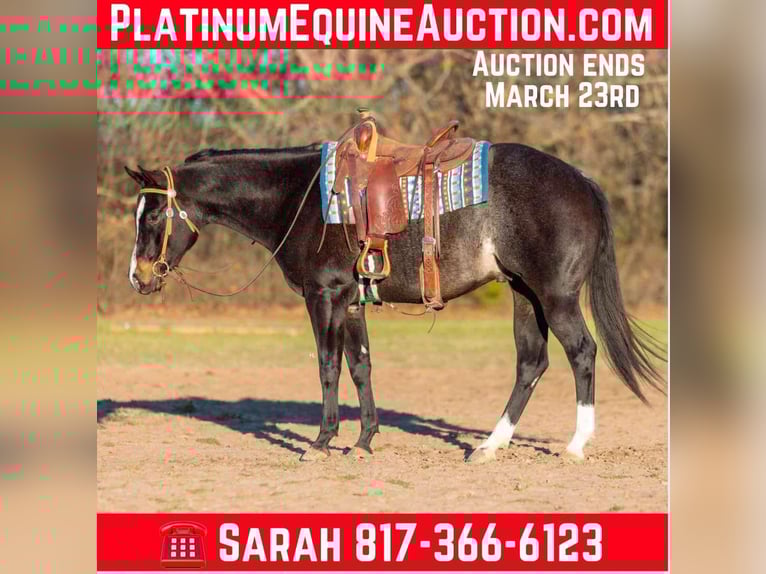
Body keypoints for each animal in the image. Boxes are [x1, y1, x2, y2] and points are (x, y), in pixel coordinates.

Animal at [124, 142, 666, 463]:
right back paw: (490, 445)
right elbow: (361, 367)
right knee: (531, 363)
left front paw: (321, 442)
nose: (138, 277)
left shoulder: (324, 296)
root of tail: (582, 181)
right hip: (524, 295)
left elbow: (327, 366)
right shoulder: (352, 302)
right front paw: (364, 440)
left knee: (582, 354)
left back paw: (575, 445)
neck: (299, 198)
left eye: (151, 216)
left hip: (556, 297)